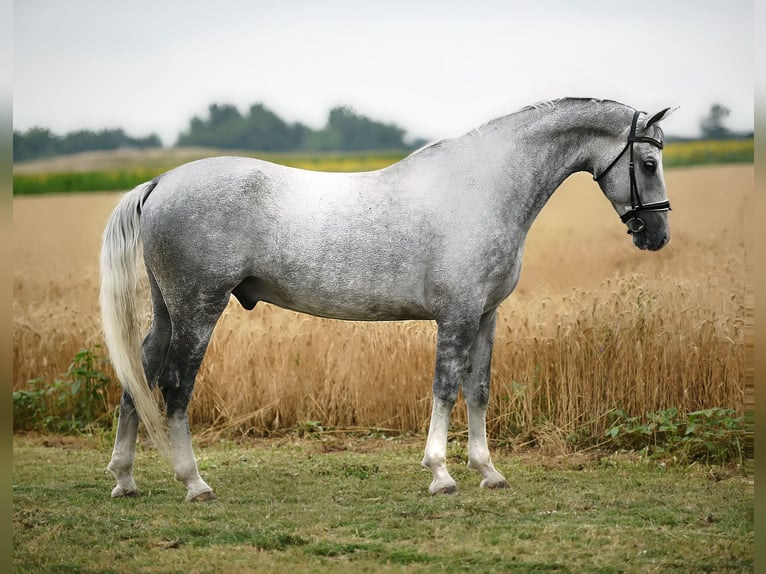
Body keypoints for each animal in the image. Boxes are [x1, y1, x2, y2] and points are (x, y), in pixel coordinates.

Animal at [102, 98, 680, 500]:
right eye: (649, 163)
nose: (656, 235)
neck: (481, 187)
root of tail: (161, 182)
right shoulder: (457, 317)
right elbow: (445, 388)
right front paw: (441, 473)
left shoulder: (486, 316)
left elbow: (479, 390)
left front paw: (488, 471)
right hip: (199, 309)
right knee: (174, 384)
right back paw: (193, 482)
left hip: (168, 310)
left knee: (140, 372)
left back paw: (125, 480)